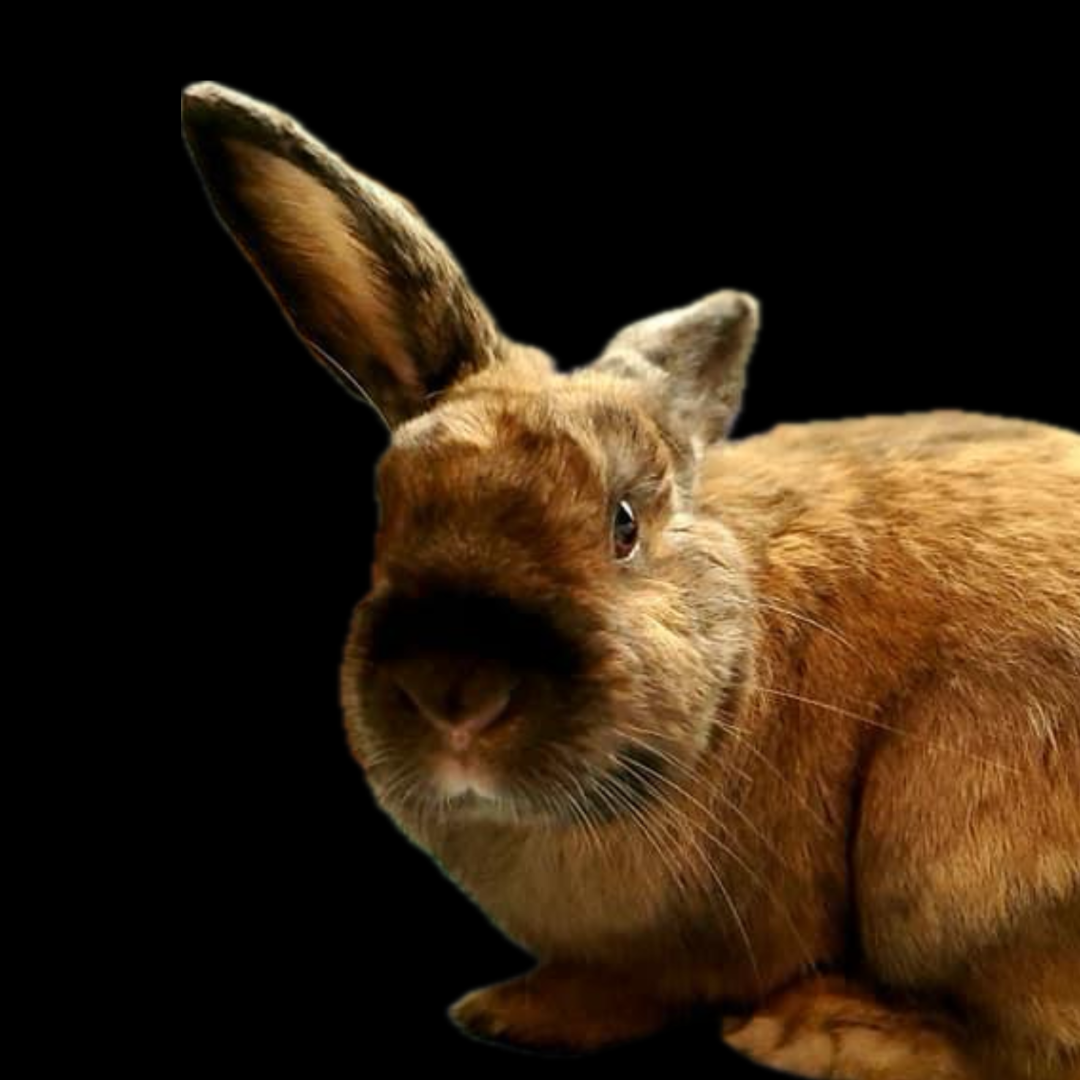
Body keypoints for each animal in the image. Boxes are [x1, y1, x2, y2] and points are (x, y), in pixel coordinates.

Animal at [181, 82, 1080, 1080]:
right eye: (390, 513)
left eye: (622, 525)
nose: (455, 696)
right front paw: (512, 1008)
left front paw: (522, 1014)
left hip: (954, 861)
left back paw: (818, 1033)